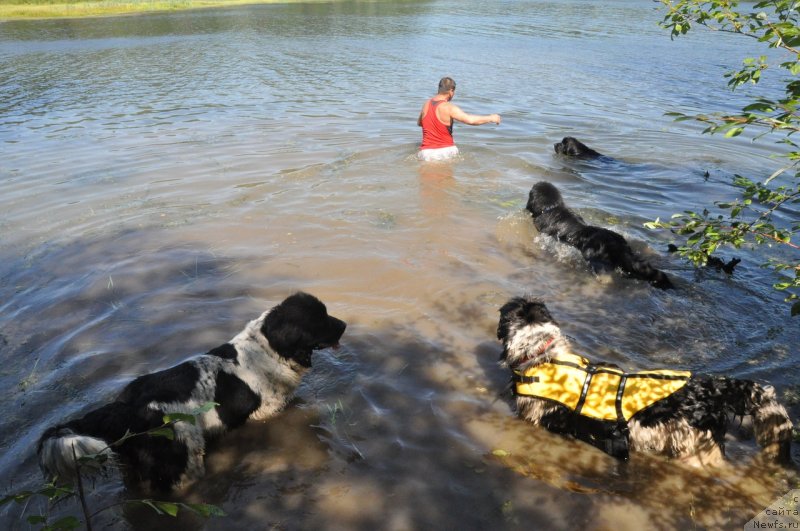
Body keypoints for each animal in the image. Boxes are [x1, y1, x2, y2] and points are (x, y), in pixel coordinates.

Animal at [37, 294, 346, 492]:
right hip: (184, 459)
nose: (344, 324)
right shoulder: (266, 411)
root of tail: (124, 407)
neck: (268, 347)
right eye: (321, 318)